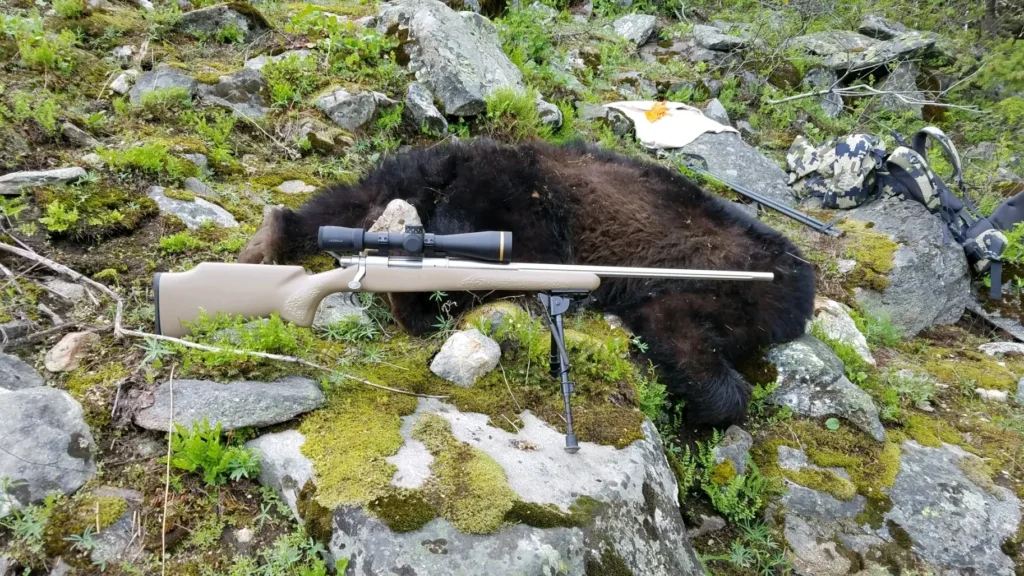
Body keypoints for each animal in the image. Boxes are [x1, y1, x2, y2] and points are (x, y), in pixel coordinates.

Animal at [239, 138, 816, 426]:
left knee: (342, 202)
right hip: (520, 208)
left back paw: (270, 238)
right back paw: (413, 303)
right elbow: (685, 337)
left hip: (413, 172)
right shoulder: (718, 288)